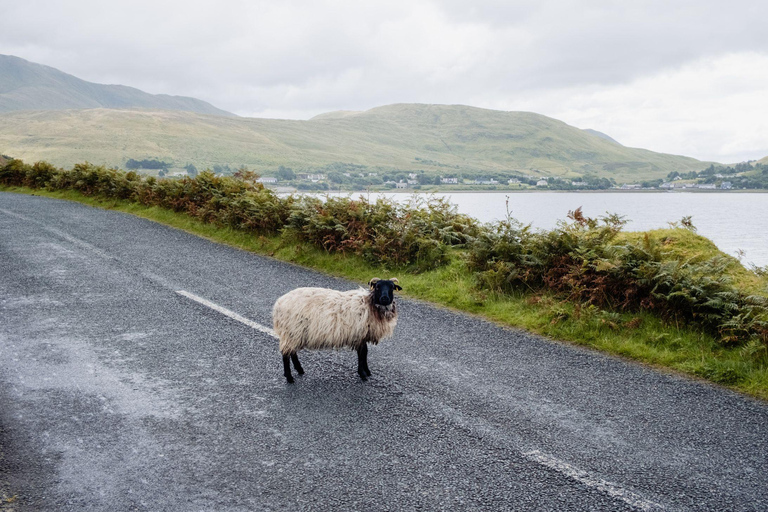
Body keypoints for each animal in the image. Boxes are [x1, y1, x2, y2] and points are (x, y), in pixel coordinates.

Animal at [272, 278, 402, 382]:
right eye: (377, 287)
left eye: (392, 287)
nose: (385, 298)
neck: (370, 303)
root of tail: (279, 303)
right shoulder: (359, 334)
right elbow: (362, 354)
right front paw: (363, 374)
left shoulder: (362, 335)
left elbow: (365, 353)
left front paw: (367, 371)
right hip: (292, 331)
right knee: (286, 354)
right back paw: (289, 378)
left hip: (294, 333)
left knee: (292, 352)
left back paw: (300, 370)